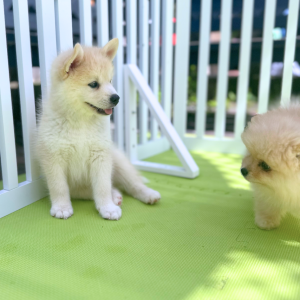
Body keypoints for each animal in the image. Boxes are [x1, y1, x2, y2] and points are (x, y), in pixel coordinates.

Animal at [35, 38, 161, 219]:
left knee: (132, 184)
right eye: (94, 84)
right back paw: (115, 196)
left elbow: (102, 187)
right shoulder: (54, 159)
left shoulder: (100, 156)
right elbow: (59, 187)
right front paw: (61, 207)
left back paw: (148, 194)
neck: (80, 121)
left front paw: (107, 207)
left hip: (119, 162)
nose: (116, 98)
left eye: (110, 81)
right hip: (80, 187)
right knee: (104, 189)